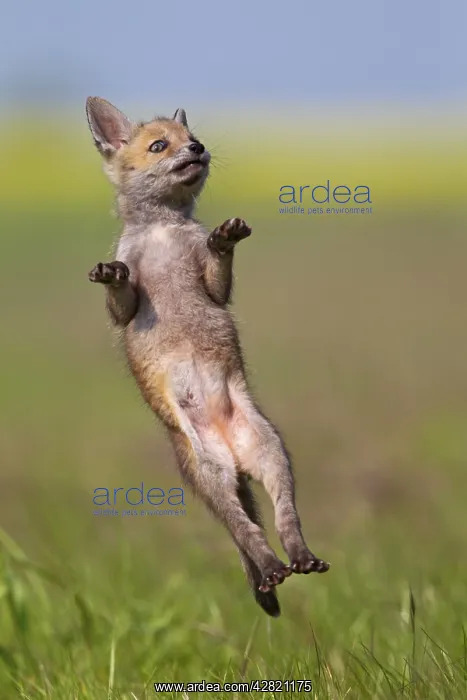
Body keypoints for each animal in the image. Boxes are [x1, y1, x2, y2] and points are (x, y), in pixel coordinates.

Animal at [86, 97, 329, 617]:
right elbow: (121, 297)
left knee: (283, 523)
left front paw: (225, 240)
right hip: (214, 475)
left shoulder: (214, 286)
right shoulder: (127, 306)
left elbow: (217, 273)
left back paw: (301, 558)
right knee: (249, 533)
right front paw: (111, 274)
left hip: (273, 455)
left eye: (191, 138)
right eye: (160, 145)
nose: (198, 149)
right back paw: (273, 569)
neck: (163, 232)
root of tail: (232, 454)